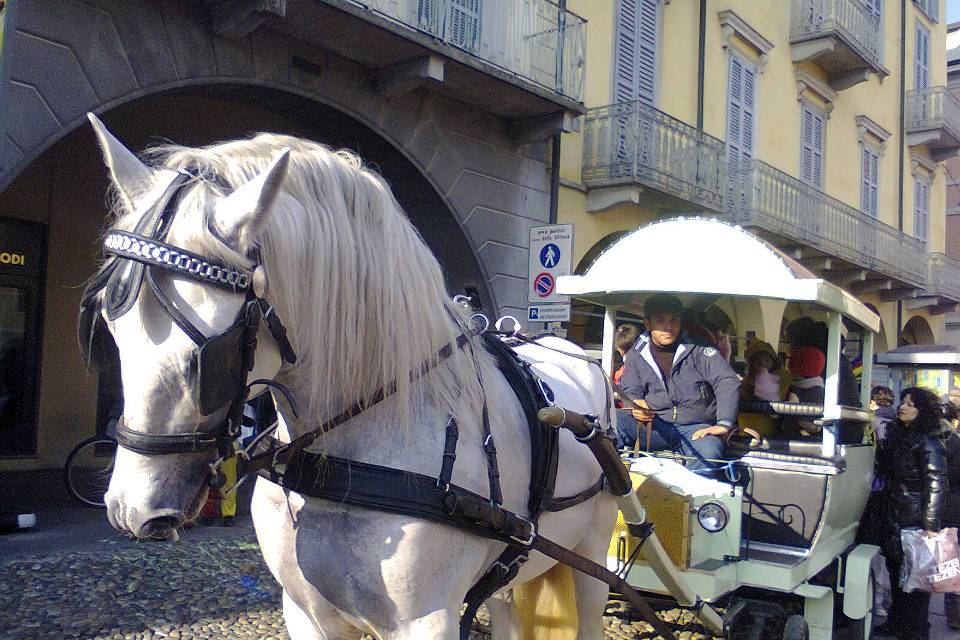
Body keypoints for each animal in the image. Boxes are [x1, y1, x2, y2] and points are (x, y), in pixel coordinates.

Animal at [88, 116, 616, 640]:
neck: (345, 456)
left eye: (209, 357)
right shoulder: (305, 613)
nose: (131, 508)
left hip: (591, 558)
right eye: (110, 328)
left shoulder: (427, 621)